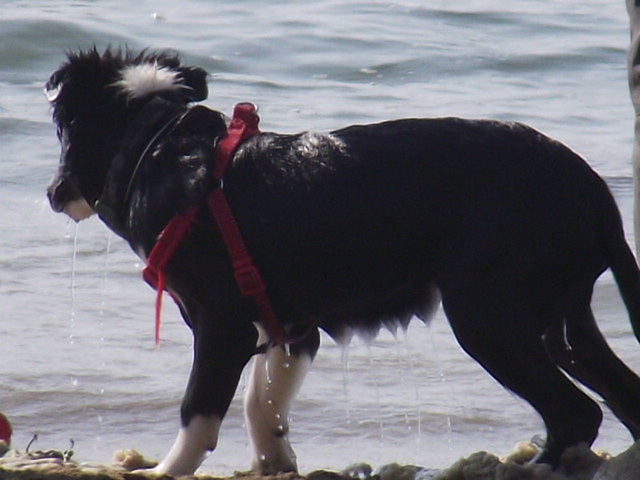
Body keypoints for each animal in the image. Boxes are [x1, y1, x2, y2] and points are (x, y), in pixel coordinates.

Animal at [43, 47, 640, 474]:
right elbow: (263, 403)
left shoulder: (221, 324)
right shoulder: (290, 327)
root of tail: (589, 186)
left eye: (62, 131)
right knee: (616, 393)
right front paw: (274, 461)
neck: (153, 145)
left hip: (488, 317)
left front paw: (166, 470)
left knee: (578, 411)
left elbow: (200, 410)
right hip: (560, 323)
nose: (51, 194)